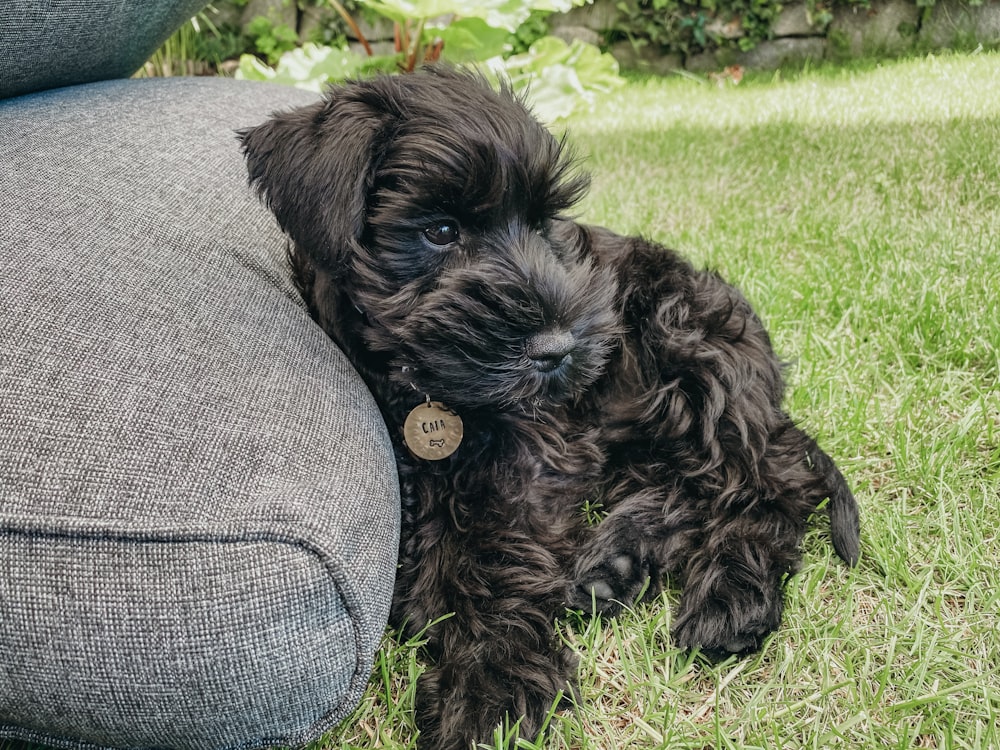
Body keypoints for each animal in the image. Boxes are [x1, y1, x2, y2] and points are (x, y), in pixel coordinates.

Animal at [242, 66, 860, 750]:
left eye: (542, 223)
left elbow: (497, 553)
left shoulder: (536, 450)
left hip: (687, 346)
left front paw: (490, 685)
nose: (560, 348)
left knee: (769, 481)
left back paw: (729, 594)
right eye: (440, 230)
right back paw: (615, 562)